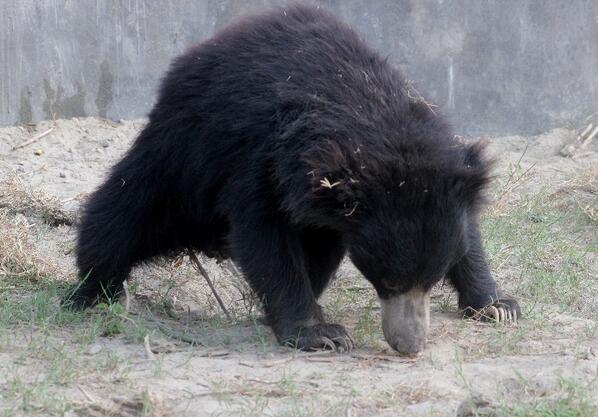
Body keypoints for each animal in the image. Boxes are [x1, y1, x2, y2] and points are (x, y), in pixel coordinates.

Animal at [63, 4, 520, 354]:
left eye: (431, 279)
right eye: (389, 281)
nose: (410, 345)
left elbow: (467, 229)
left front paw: (497, 306)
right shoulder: (261, 156)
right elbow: (264, 235)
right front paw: (320, 334)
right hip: (175, 161)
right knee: (117, 219)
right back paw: (91, 292)